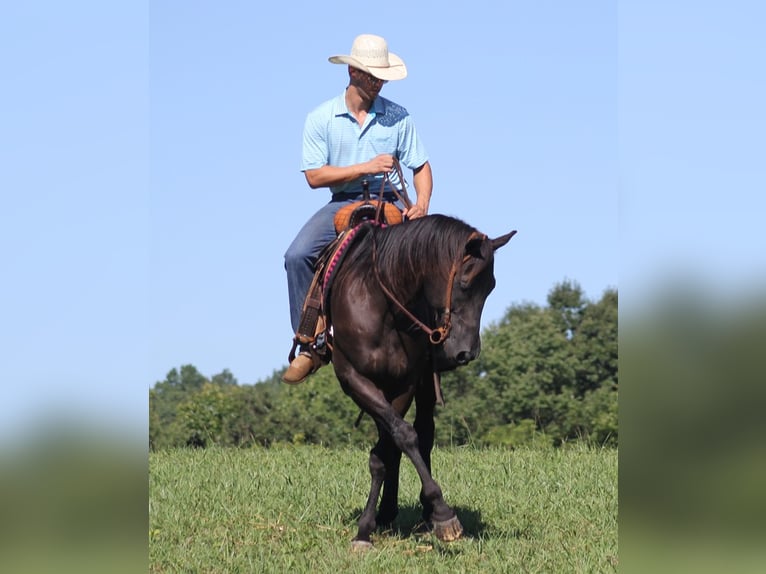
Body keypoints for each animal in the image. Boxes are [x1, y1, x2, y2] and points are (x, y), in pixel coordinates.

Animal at [328, 214, 520, 552]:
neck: (381, 307)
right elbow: (395, 442)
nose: (467, 352)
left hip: (425, 387)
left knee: (424, 433)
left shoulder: (405, 385)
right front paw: (366, 528)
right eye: (465, 284)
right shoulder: (355, 380)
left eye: (491, 287)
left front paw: (439, 513)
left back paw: (421, 513)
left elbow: (398, 443)